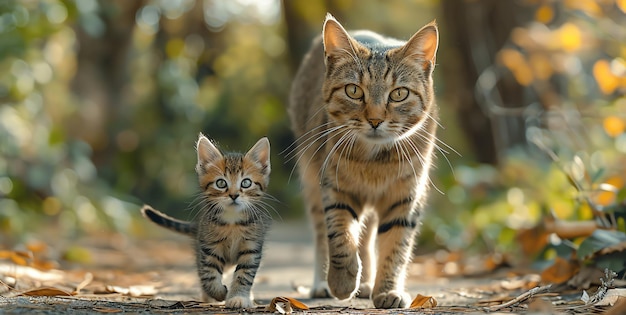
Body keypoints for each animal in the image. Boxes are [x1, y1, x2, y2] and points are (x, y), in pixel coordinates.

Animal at [141, 133, 270, 308]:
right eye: (221, 183)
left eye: (246, 183)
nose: (234, 195)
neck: (232, 222)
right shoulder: (208, 247)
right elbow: (209, 274)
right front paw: (219, 292)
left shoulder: (252, 247)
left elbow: (244, 275)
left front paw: (238, 297)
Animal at [288, 14, 438, 308]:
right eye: (354, 91)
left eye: (399, 94)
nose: (376, 119)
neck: (375, 162)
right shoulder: (335, 188)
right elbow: (340, 235)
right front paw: (342, 281)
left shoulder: (406, 196)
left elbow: (396, 247)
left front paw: (388, 290)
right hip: (311, 179)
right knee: (323, 234)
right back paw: (324, 284)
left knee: (367, 238)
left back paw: (367, 284)